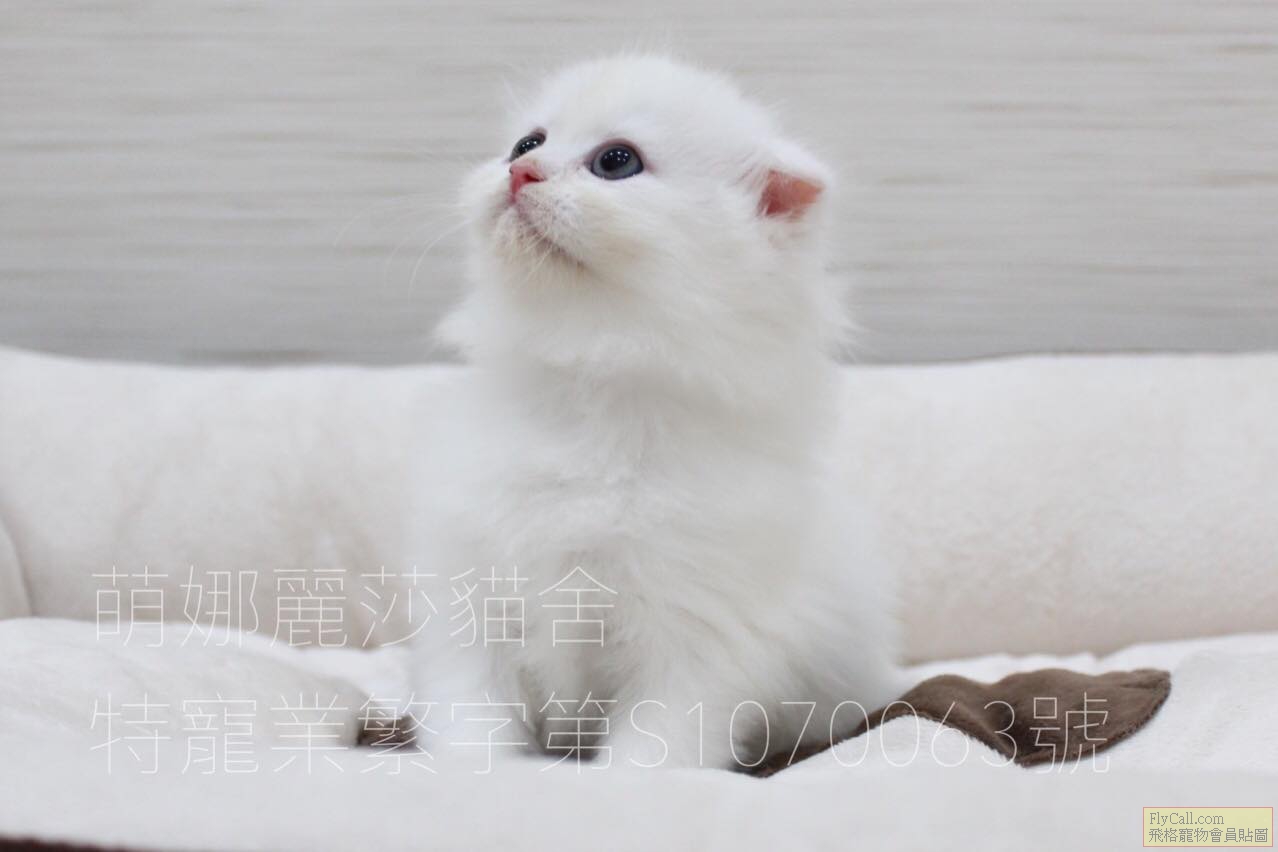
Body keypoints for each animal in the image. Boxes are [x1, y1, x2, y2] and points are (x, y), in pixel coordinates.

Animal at [410, 54, 904, 771]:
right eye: (527, 143)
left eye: (616, 162)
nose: (519, 172)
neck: (589, 378)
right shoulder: (468, 592)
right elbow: (470, 713)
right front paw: (473, 771)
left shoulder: (696, 627)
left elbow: (658, 743)